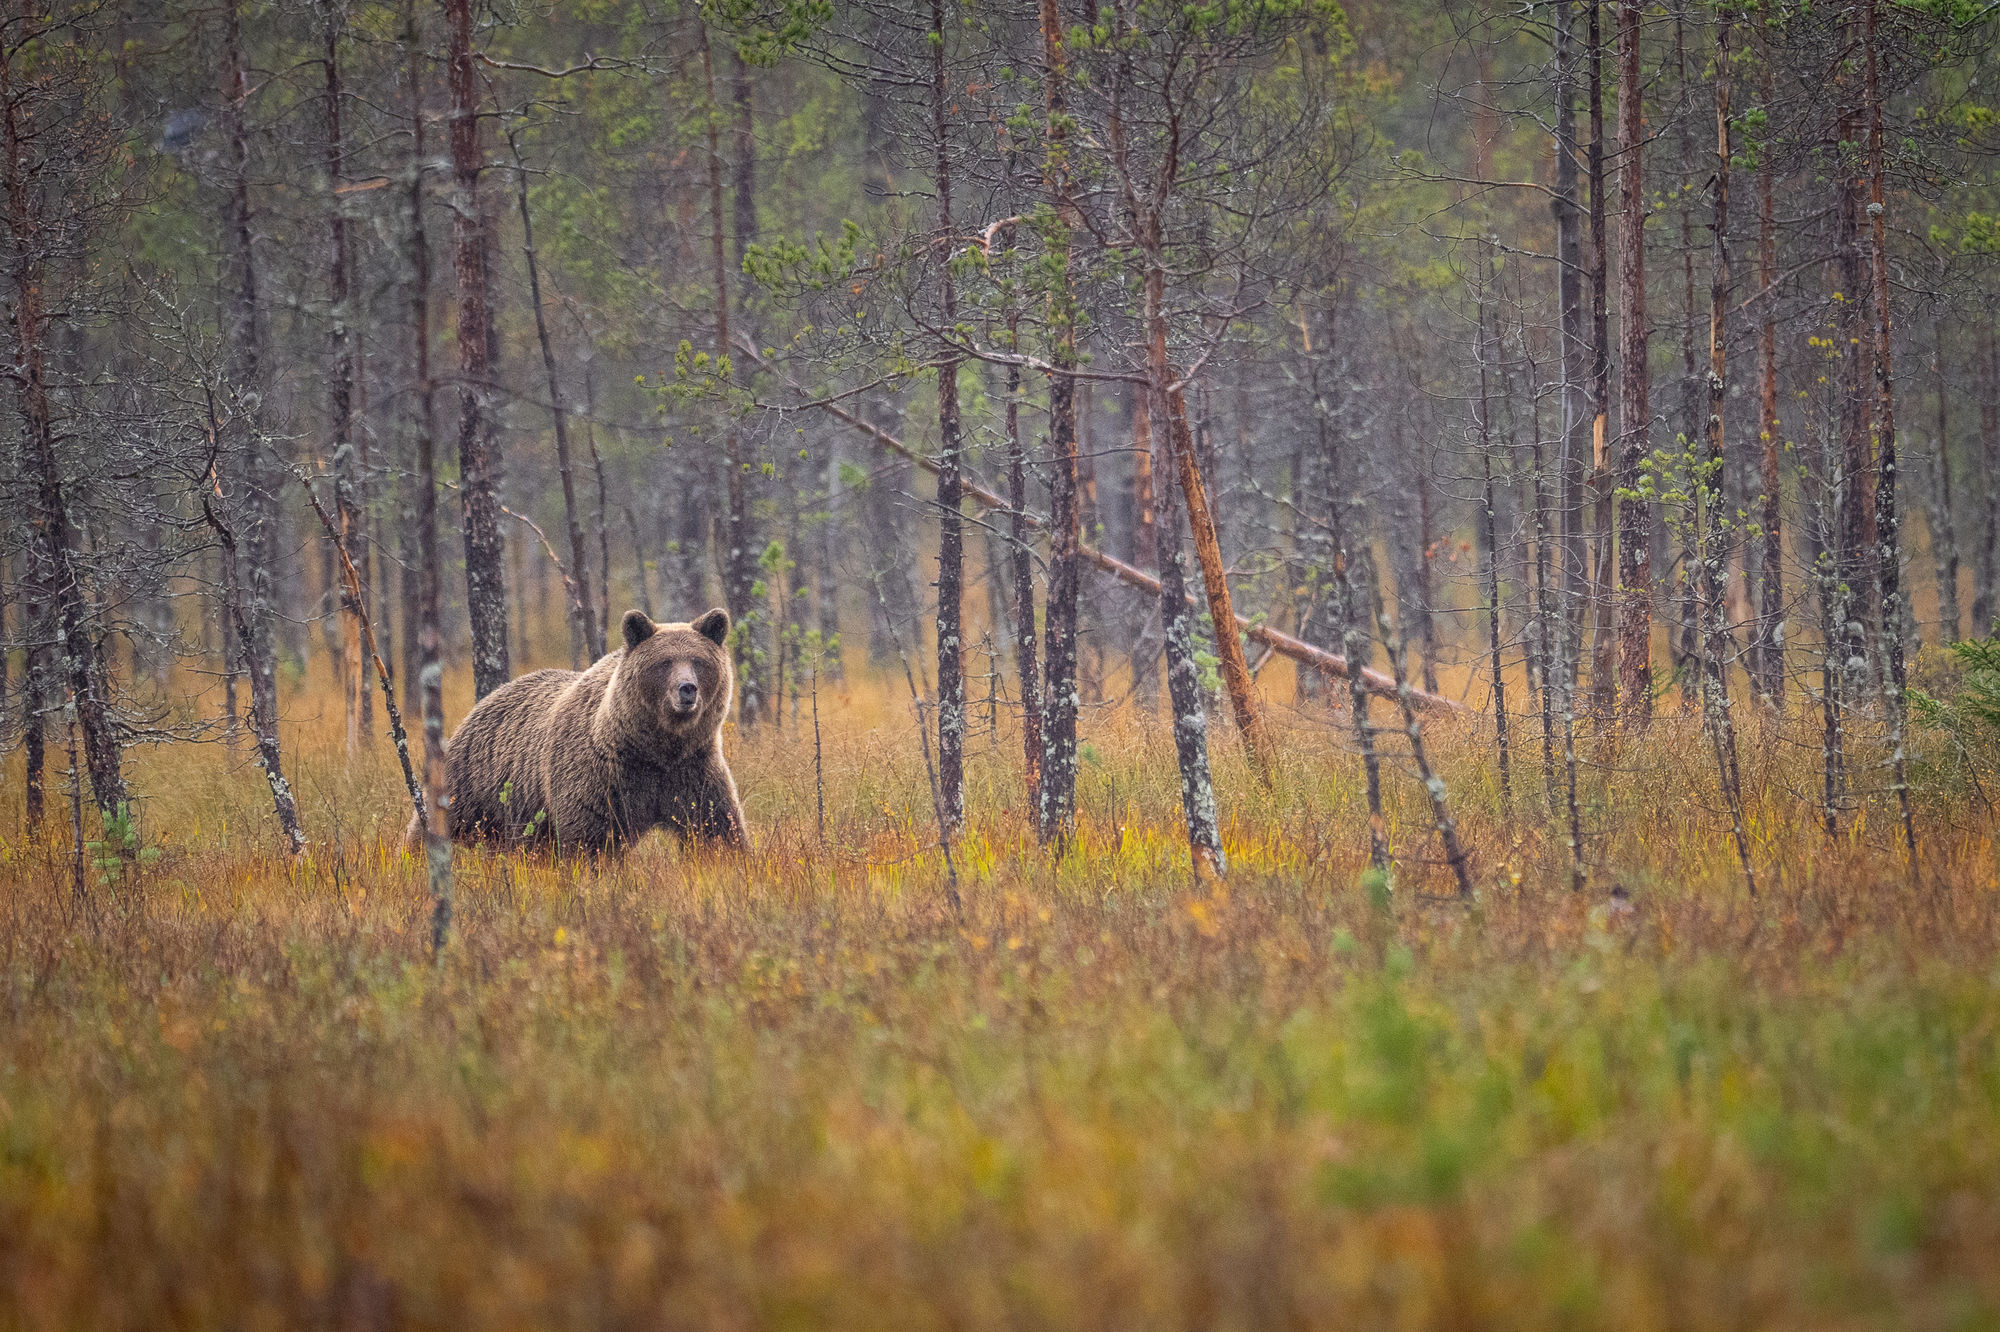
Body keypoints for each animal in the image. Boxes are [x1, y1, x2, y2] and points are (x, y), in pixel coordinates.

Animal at [425, 607, 748, 857]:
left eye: (698, 661)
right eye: (664, 662)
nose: (687, 688)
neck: (655, 749)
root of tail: (484, 701)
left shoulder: (693, 769)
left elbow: (716, 828)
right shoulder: (600, 774)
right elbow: (591, 839)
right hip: (474, 784)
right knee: (441, 821)